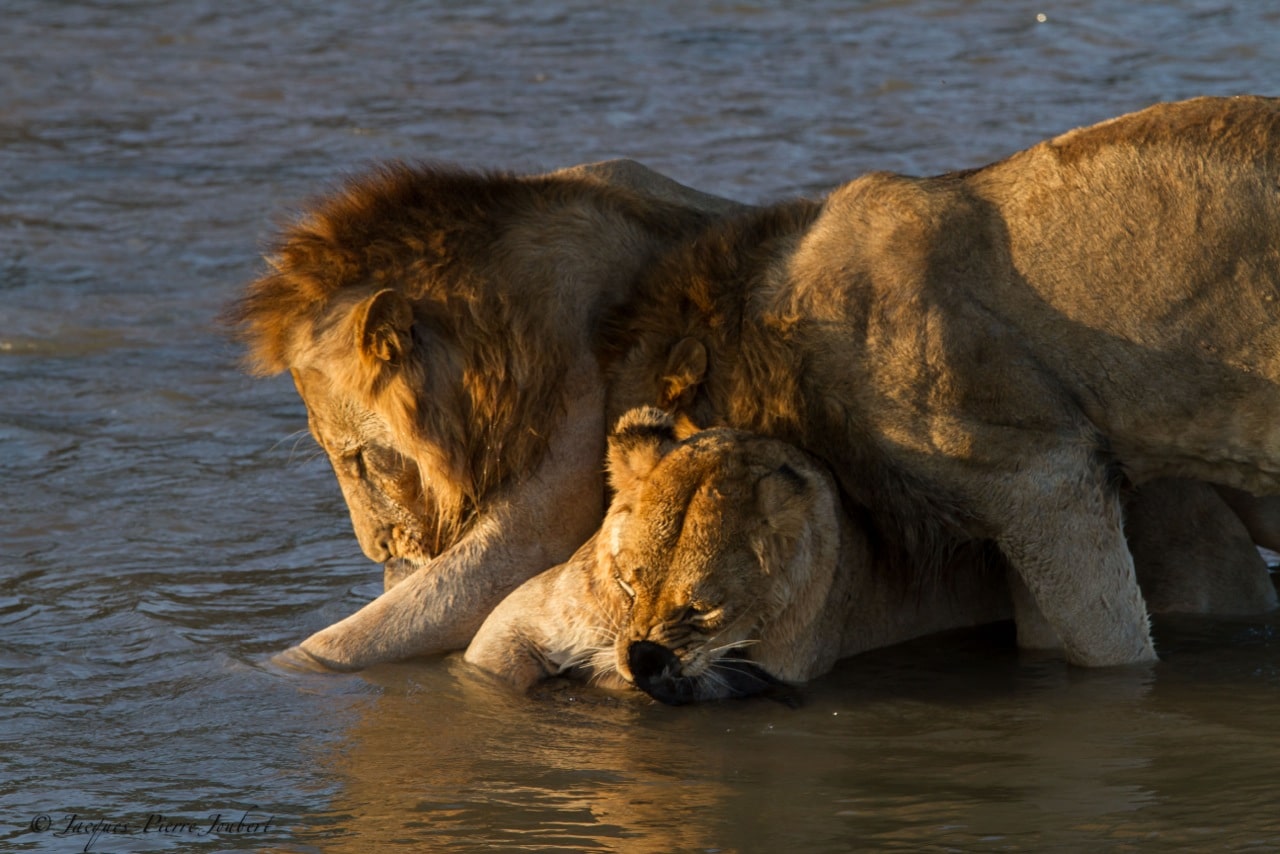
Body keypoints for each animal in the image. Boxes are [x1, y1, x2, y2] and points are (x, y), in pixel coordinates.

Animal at [465, 409, 1274, 706]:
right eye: (629, 583)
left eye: (703, 608)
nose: (640, 655)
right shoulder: (517, 621)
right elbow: (495, 660)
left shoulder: (785, 668)